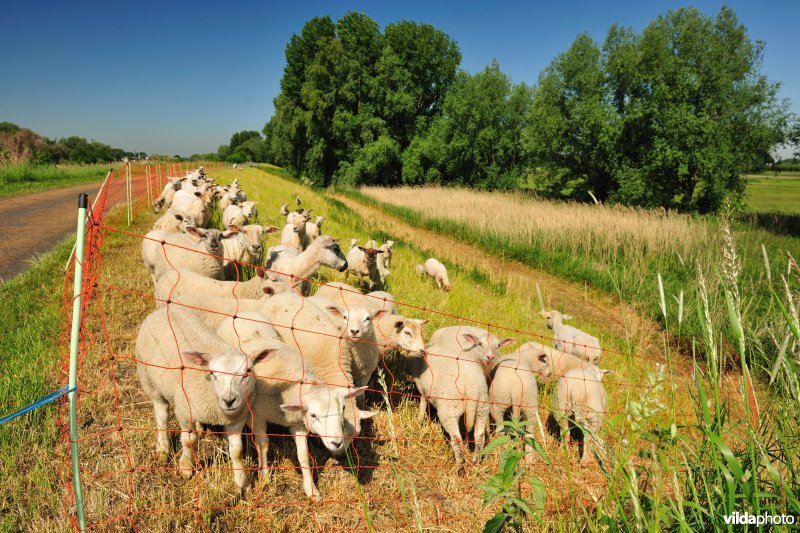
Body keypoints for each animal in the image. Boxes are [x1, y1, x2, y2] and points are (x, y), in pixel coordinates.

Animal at [134, 306, 276, 492]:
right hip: (149, 380)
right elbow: (188, 441)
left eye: (248, 371)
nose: (229, 400)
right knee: (161, 414)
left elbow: (237, 450)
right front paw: (186, 468)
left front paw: (242, 483)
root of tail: (163, 309)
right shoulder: (184, 412)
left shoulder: (237, 418)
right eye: (212, 373)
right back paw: (163, 448)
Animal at [410, 326, 516, 472]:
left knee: (456, 439)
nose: (490, 357)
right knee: (480, 436)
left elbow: (423, 402)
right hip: (482, 408)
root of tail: (472, 388)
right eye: (480, 344)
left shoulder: (422, 386)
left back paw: (460, 467)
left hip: (450, 411)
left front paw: (419, 420)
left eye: (498, 345)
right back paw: (476, 461)